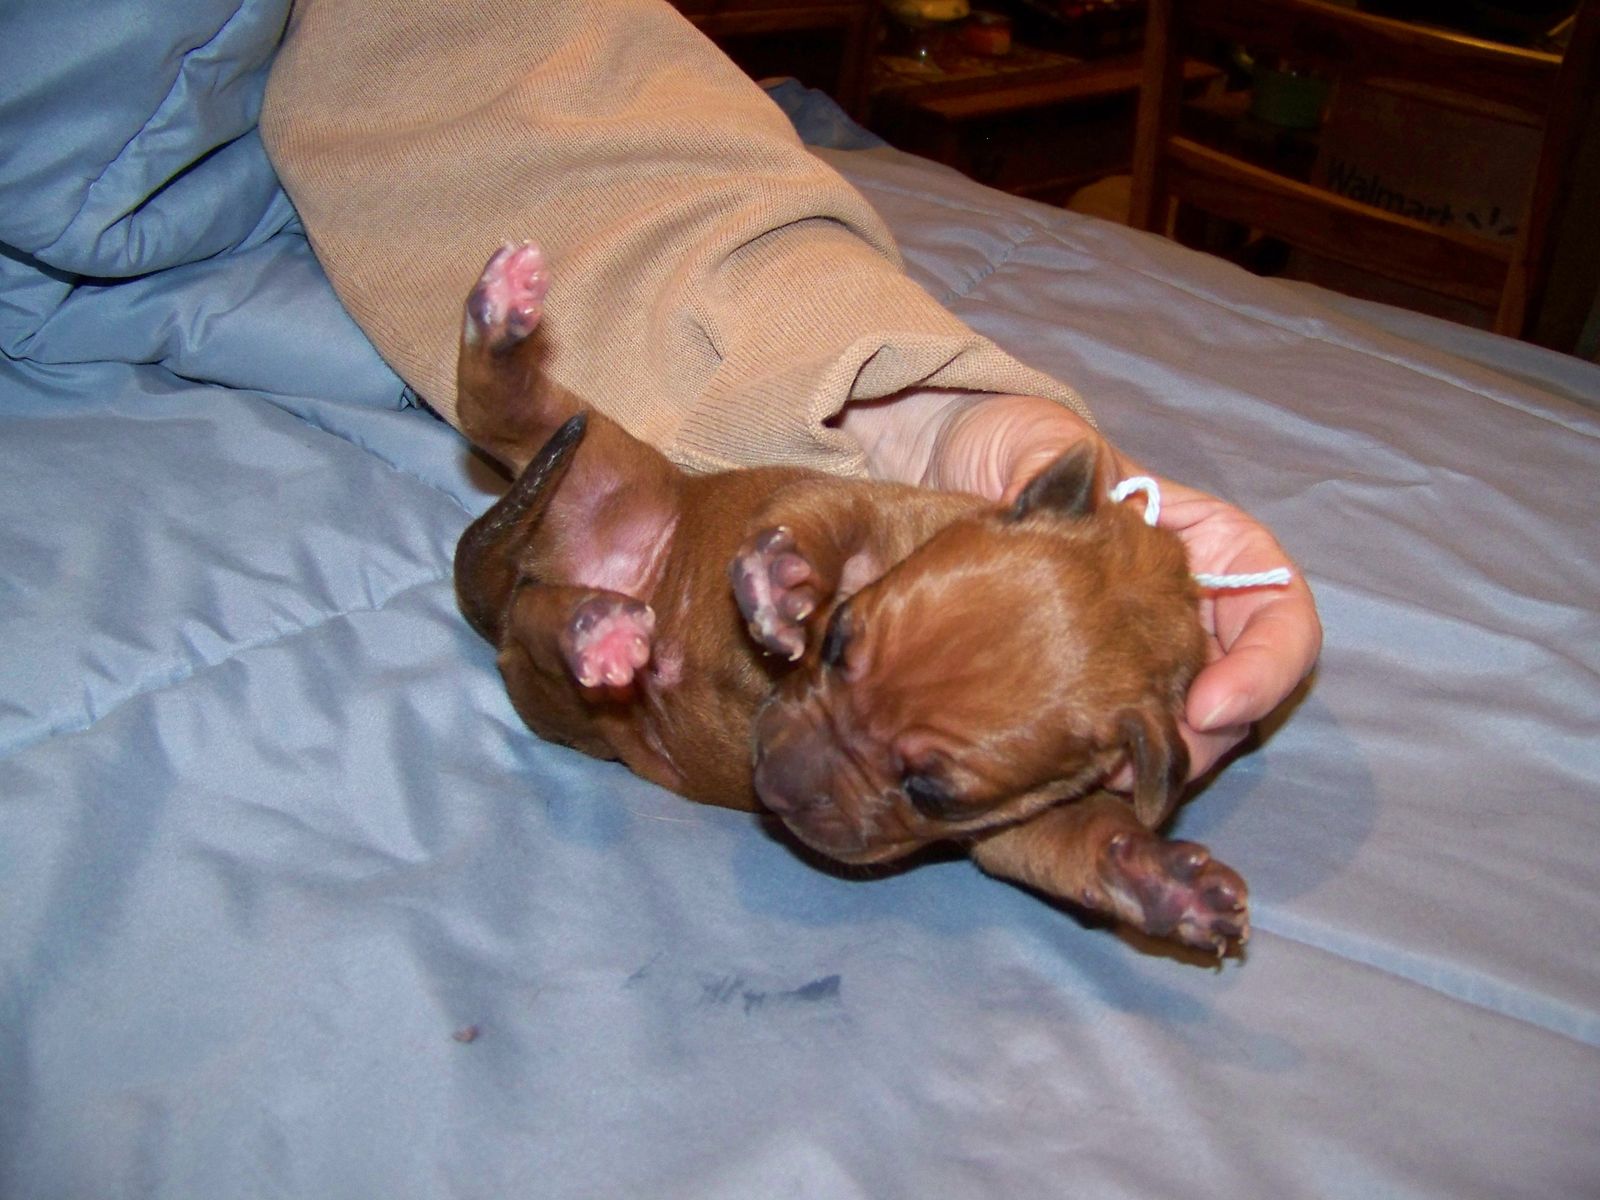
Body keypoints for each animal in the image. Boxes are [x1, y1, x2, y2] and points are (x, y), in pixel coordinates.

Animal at [454, 242, 1248, 955]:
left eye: (932, 794)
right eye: (836, 642)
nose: (771, 785)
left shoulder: (1016, 823)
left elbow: (1078, 839)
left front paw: (1164, 882)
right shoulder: (862, 501)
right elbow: (818, 517)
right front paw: (781, 581)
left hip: (576, 683)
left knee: (542, 626)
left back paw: (599, 634)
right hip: (594, 457)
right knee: (500, 413)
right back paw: (503, 319)